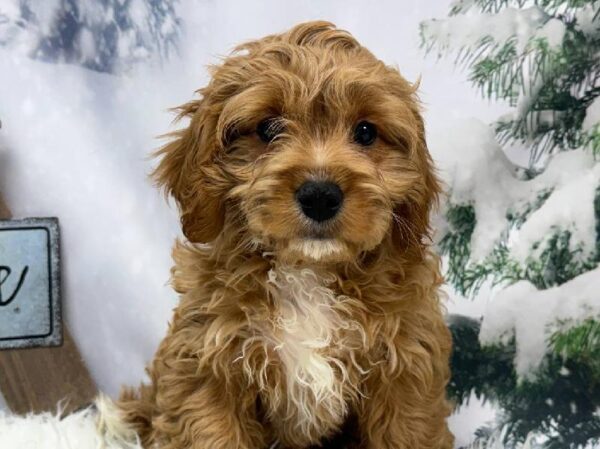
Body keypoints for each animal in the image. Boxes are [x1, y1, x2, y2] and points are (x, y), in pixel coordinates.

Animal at [119, 21, 452, 448]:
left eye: (365, 132)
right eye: (267, 128)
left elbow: (406, 431)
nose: (320, 196)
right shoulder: (205, 364)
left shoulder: (405, 367)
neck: (308, 271)